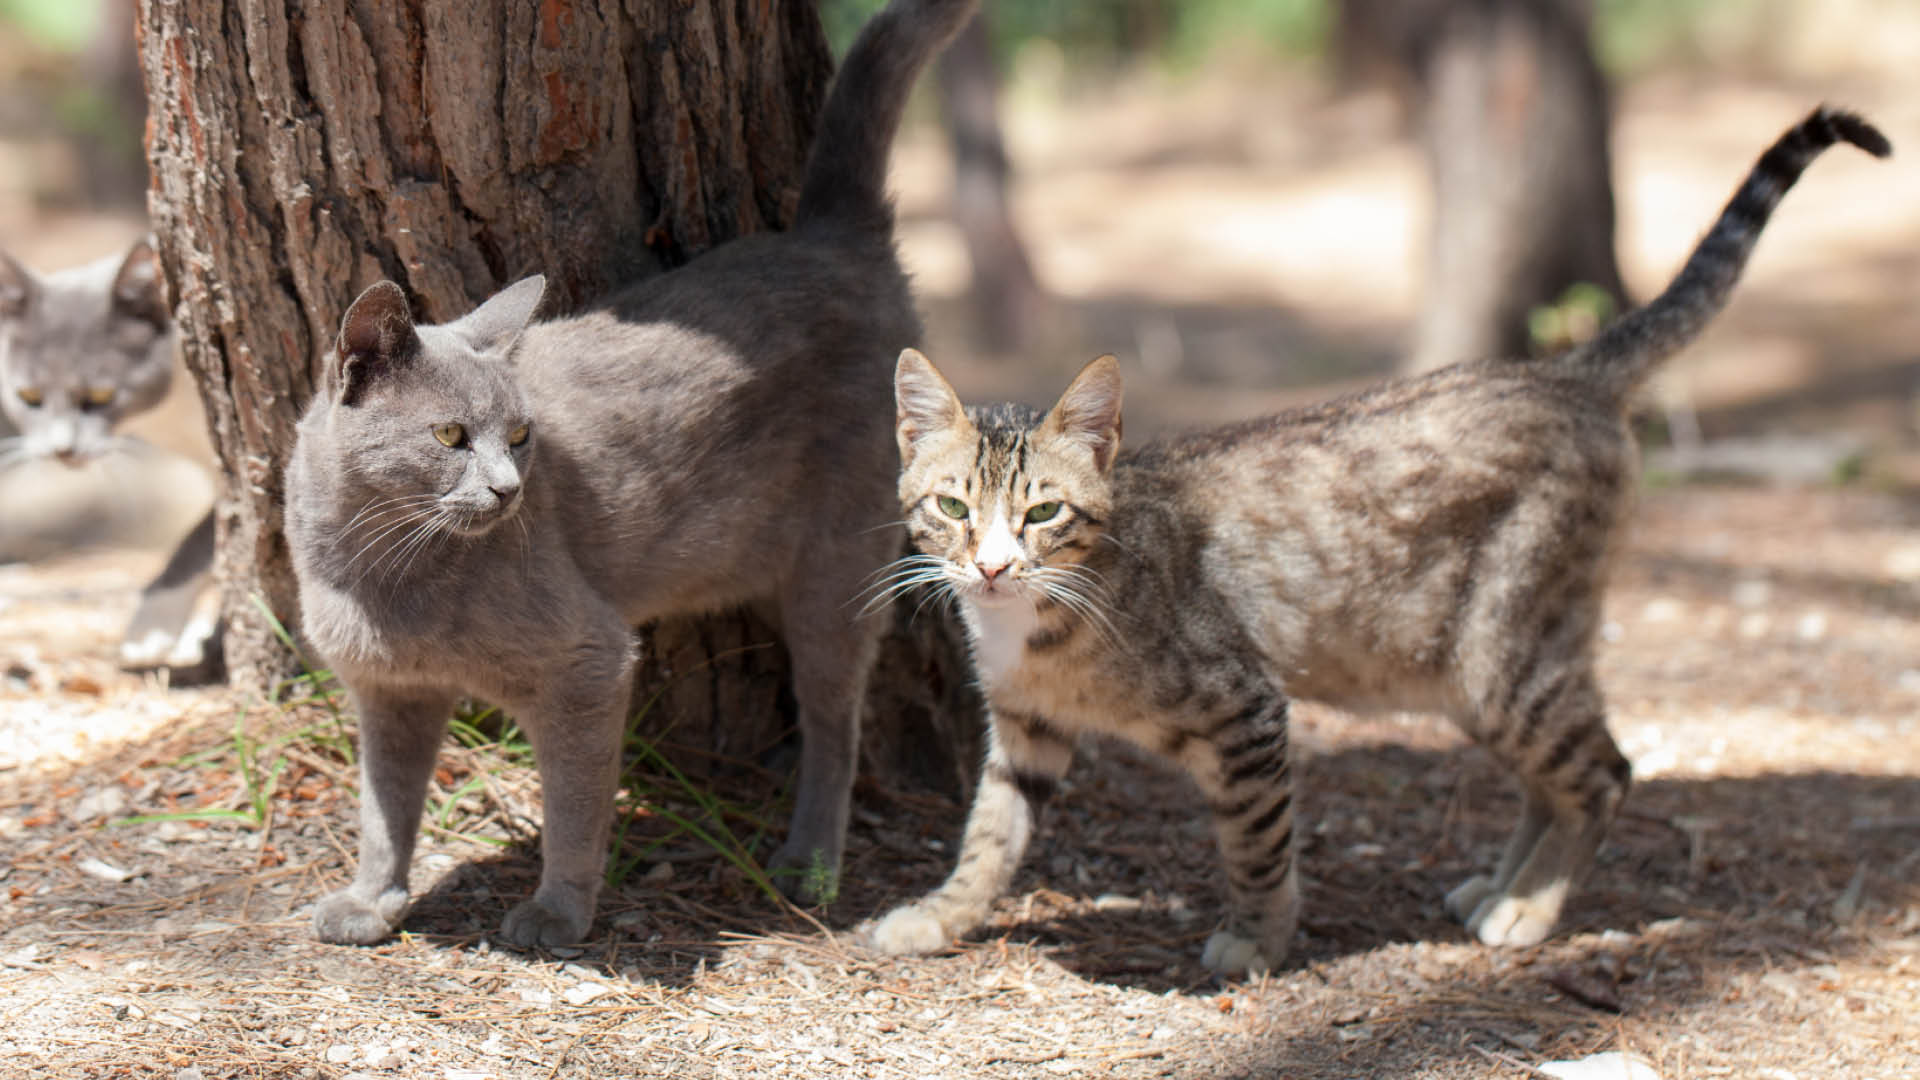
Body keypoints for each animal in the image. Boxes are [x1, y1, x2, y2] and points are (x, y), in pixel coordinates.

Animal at [291, 0, 983, 941]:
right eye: (449, 435)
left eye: (520, 435)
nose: (508, 490)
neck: (380, 567)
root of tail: (831, 236)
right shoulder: (387, 690)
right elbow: (384, 805)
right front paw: (371, 901)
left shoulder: (589, 660)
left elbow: (575, 802)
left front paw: (556, 914)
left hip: (837, 564)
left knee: (836, 719)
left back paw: (808, 865)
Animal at [867, 105, 1889, 972]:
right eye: (953, 508)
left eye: (1042, 514)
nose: (992, 565)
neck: (1043, 614)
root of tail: (1566, 373)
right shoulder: (1025, 728)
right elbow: (989, 835)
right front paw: (938, 916)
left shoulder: (1247, 710)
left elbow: (1258, 841)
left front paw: (1258, 938)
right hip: (1479, 671)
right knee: (1552, 778)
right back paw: (1501, 887)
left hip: (1504, 654)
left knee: (1606, 770)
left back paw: (1531, 910)